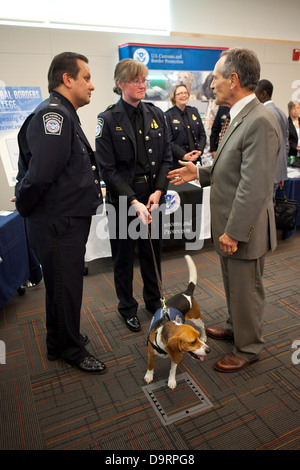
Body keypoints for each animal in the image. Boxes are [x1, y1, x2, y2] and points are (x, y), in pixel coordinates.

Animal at [144, 255, 210, 388]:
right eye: (193, 342)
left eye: (197, 339)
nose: (208, 350)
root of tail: (186, 293)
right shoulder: (150, 352)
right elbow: (150, 365)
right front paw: (149, 375)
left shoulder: (175, 355)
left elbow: (173, 369)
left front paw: (171, 380)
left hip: (196, 319)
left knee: (202, 326)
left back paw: (205, 336)